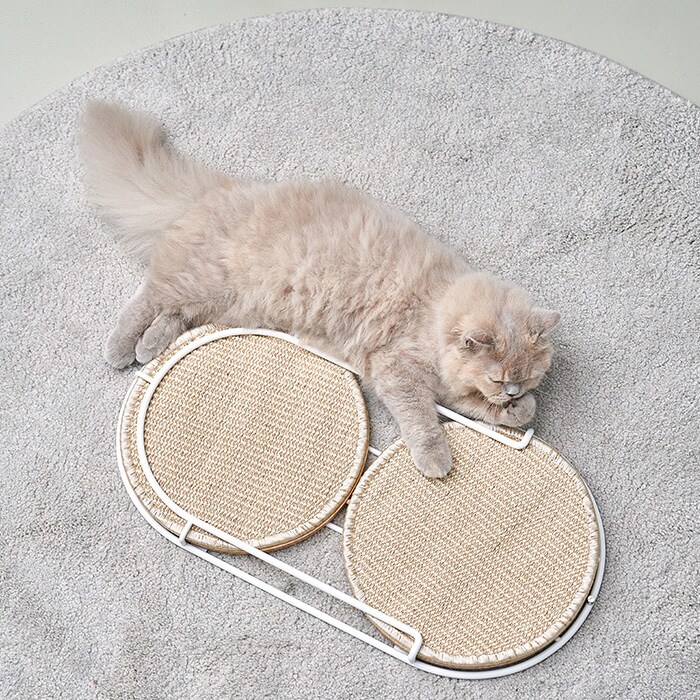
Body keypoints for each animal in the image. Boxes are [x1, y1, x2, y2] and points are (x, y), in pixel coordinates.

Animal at [79, 101, 559, 479]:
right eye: (499, 376)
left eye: (524, 377)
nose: (511, 391)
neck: (432, 308)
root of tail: (220, 190)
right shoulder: (397, 370)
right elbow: (423, 421)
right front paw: (437, 460)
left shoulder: (443, 385)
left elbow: (488, 409)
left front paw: (517, 411)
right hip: (201, 282)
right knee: (145, 302)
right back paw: (120, 350)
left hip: (216, 300)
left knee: (169, 316)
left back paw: (147, 349)